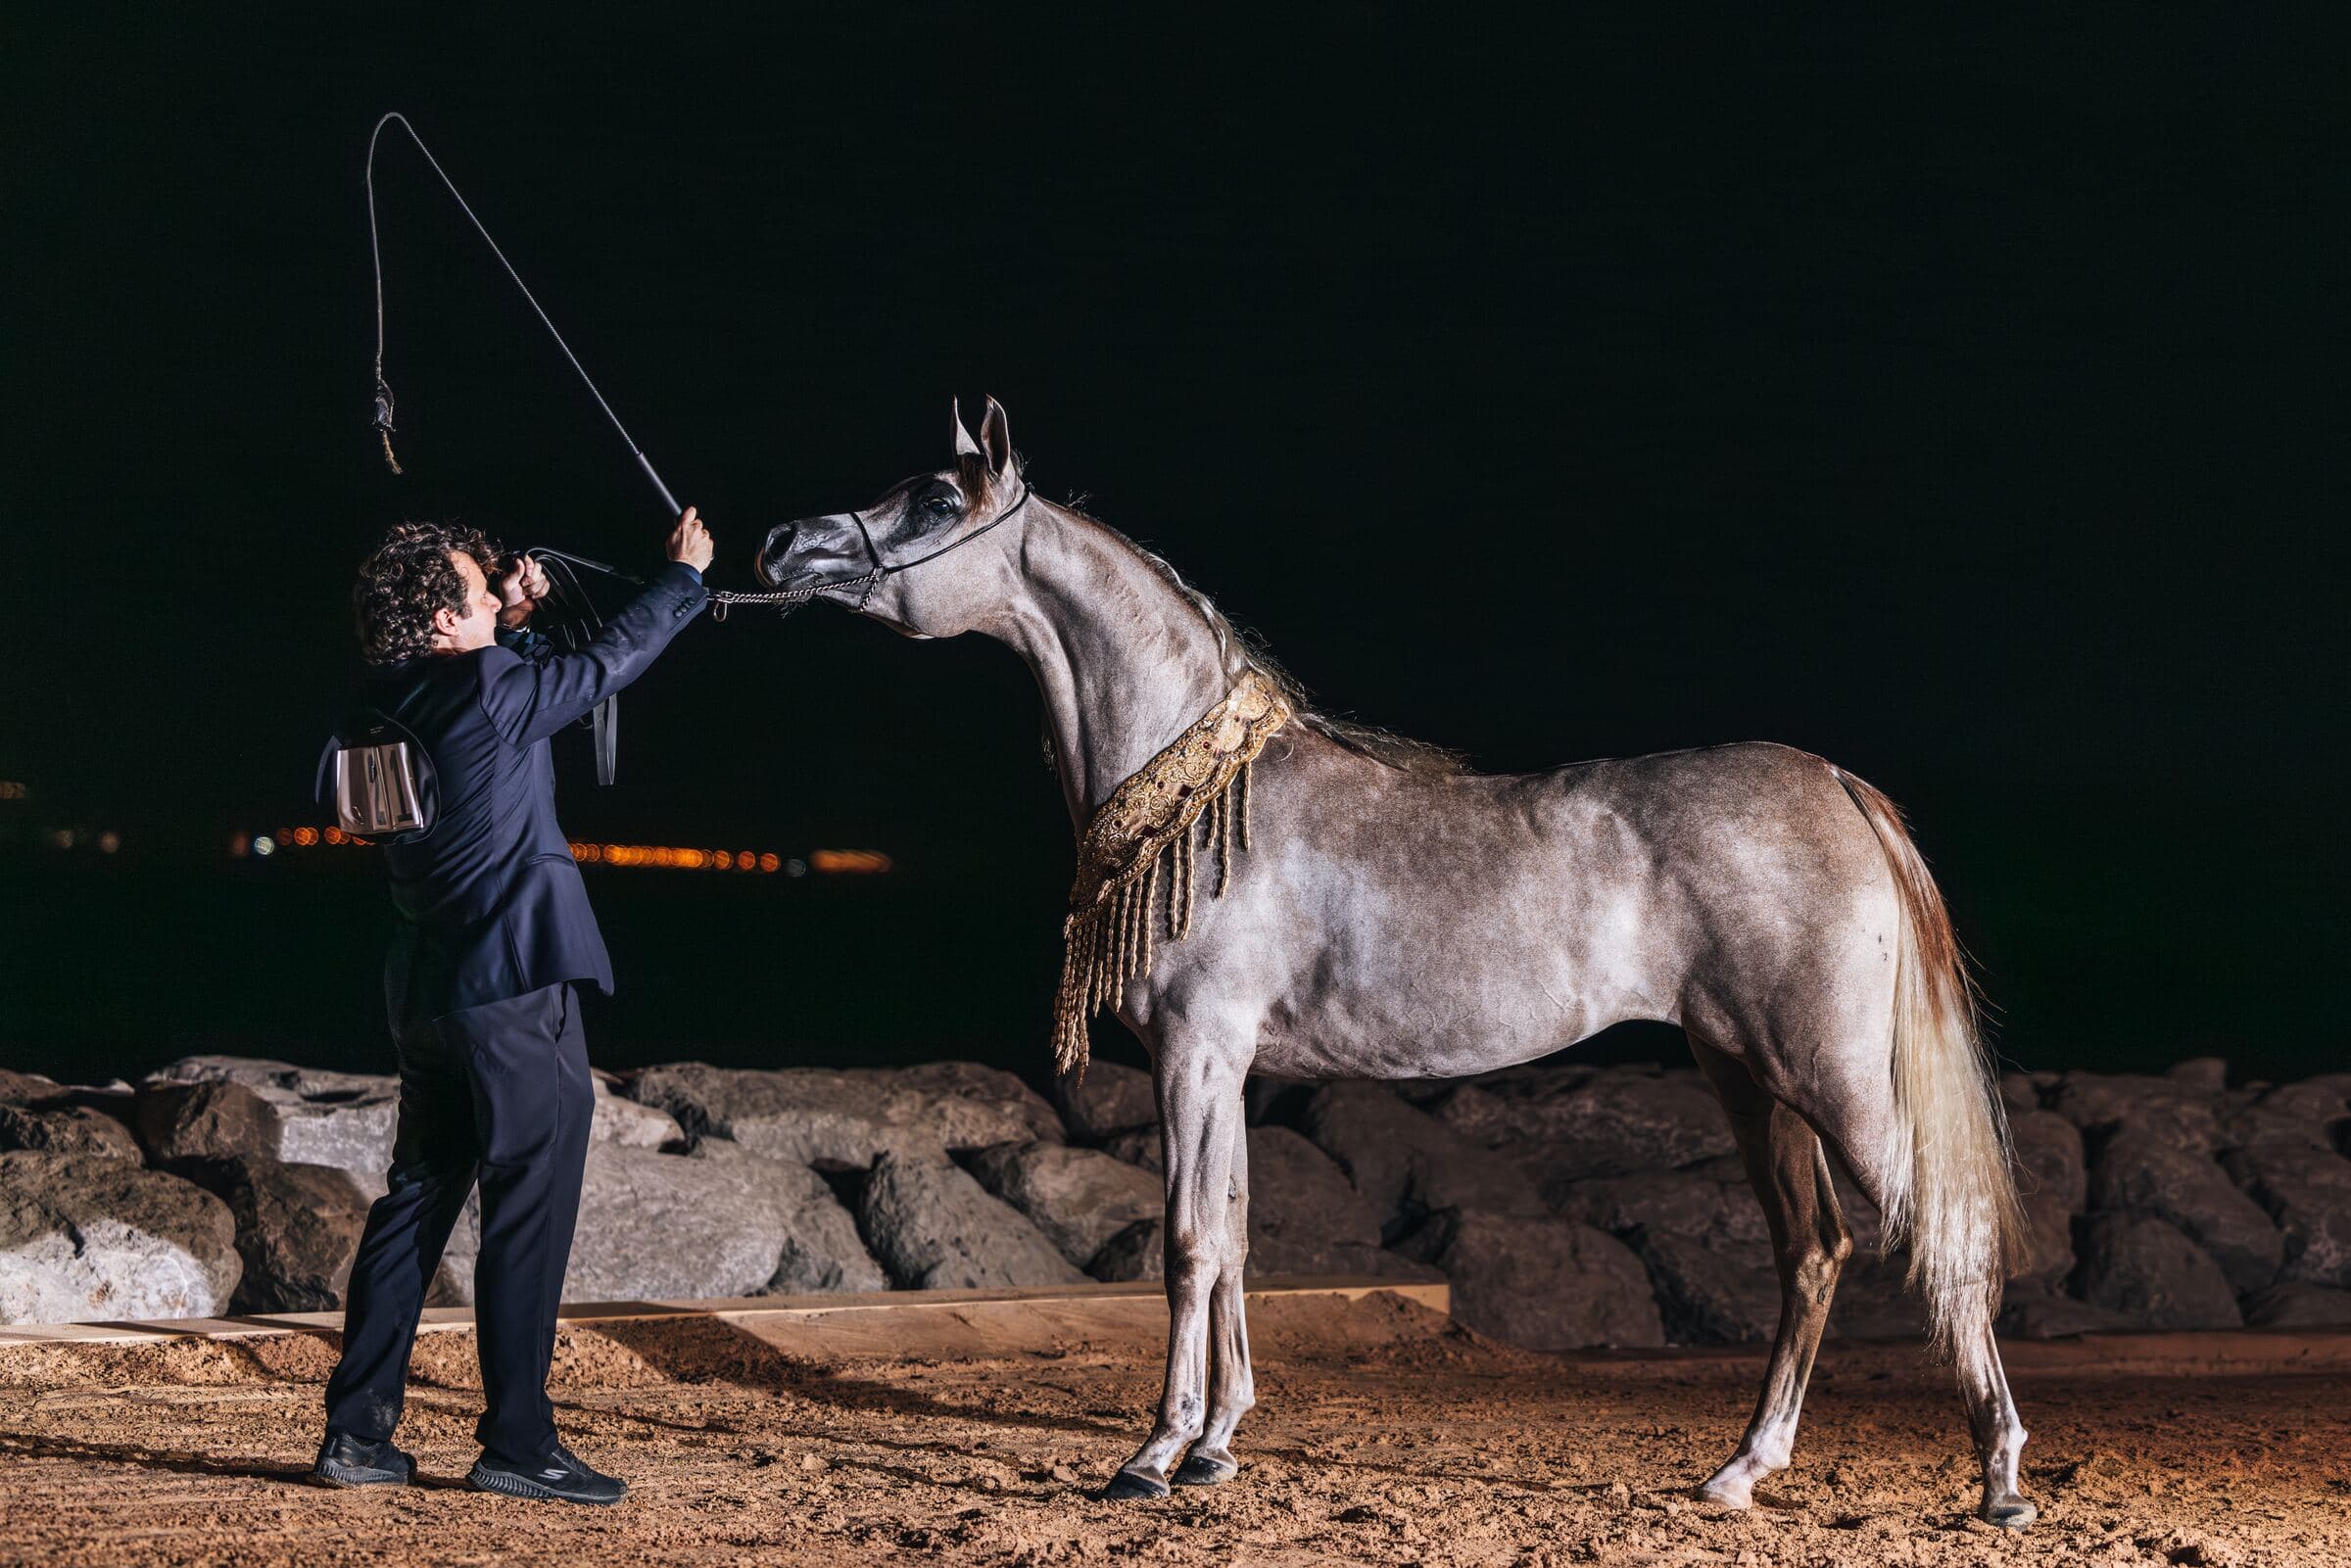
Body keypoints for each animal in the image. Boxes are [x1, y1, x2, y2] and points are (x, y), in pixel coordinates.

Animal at [754, 399, 2036, 1528]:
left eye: (934, 497)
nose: (777, 544)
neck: (1213, 792)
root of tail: (1836, 783)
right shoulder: (1229, 1065)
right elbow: (1234, 1237)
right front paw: (1218, 1443)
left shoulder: (1195, 1051)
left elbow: (1186, 1244)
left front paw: (1155, 1453)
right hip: (1747, 1076)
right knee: (1811, 1252)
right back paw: (1741, 1468)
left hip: (1830, 1077)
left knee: (1941, 1234)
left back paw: (2001, 1479)